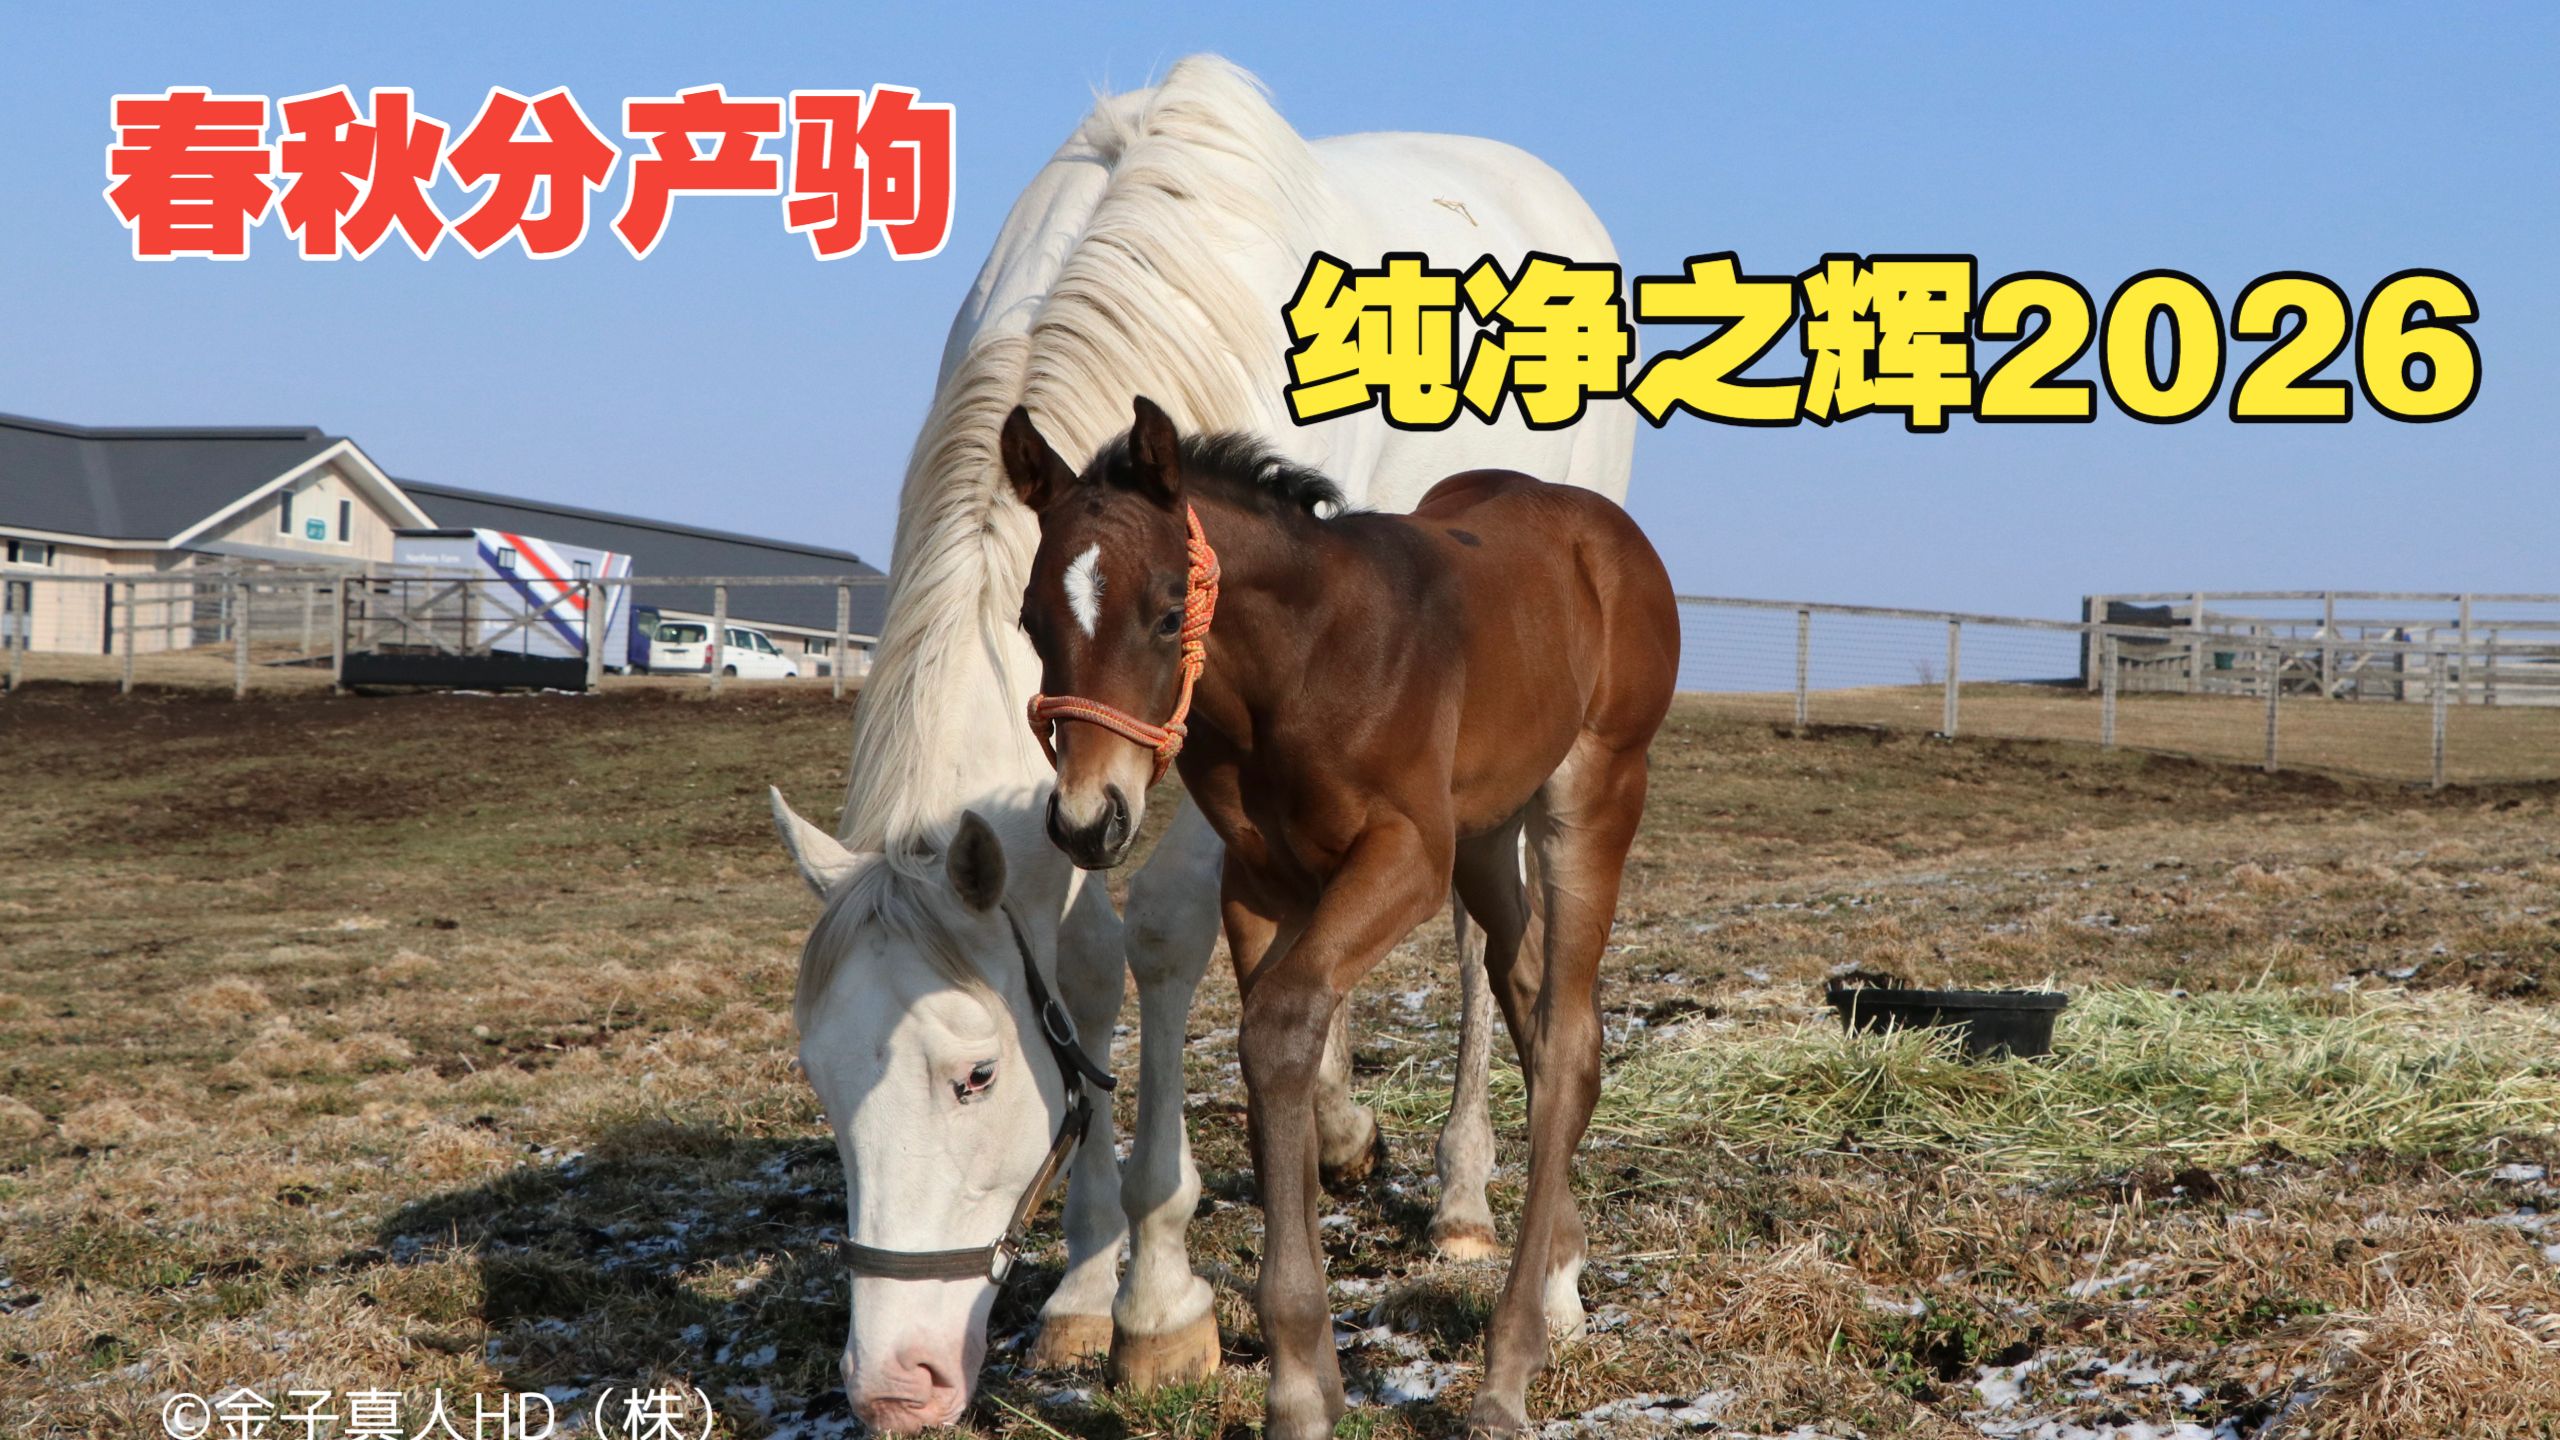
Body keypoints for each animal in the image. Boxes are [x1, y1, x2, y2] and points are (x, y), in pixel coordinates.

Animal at [1006, 397, 1678, 1438]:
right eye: (1033, 620)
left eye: (1167, 613)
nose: (1088, 818)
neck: (1303, 664)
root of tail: (1602, 531)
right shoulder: (1260, 882)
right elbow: (1276, 1048)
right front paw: (1309, 1378)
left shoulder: (1406, 856)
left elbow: (1282, 1027)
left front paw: (1294, 1389)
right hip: (1488, 833)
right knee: (1528, 990)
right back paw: (1557, 1276)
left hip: (1595, 791)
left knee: (1568, 1039)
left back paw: (1507, 1370)